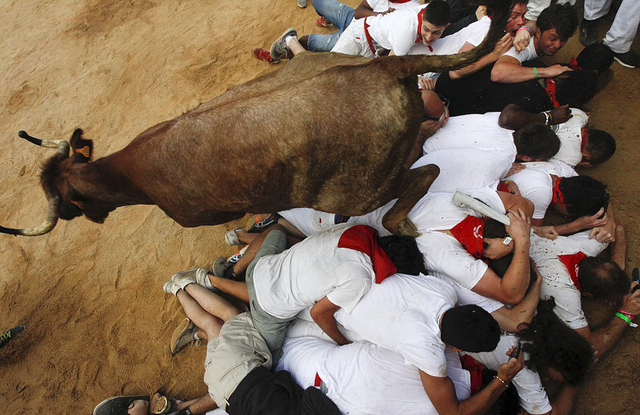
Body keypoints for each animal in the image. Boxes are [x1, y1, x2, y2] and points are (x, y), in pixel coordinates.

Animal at [0, 1, 510, 237]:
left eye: (70, 202)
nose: (88, 217)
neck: (132, 172)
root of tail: (384, 67)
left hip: (357, 190)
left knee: (427, 172)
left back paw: (399, 221)